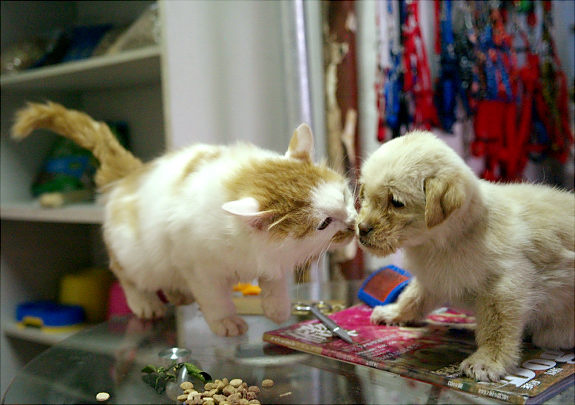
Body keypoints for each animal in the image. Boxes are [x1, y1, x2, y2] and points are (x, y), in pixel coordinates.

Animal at [12, 102, 356, 336]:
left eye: (344, 196)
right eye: (324, 223)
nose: (353, 224)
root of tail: (131, 175)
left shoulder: (271, 259)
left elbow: (273, 282)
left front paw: (276, 308)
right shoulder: (199, 267)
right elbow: (215, 298)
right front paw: (225, 321)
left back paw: (179, 294)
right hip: (134, 257)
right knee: (126, 275)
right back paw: (146, 303)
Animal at [358, 131, 572, 380]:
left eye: (396, 203)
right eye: (365, 195)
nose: (361, 229)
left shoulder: (506, 286)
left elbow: (498, 328)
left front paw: (488, 360)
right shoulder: (434, 278)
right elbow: (412, 297)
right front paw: (394, 313)